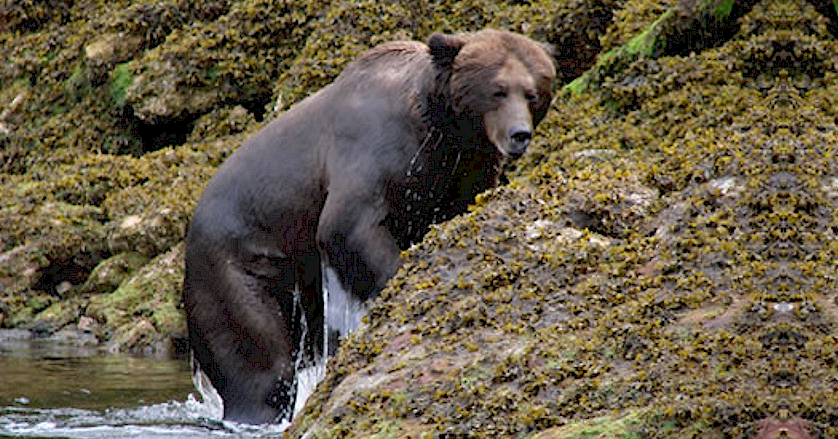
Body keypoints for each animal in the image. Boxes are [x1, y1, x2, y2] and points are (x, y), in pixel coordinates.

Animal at [182, 28, 556, 426]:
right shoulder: (374, 147)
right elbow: (347, 224)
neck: (441, 127)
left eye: (531, 92)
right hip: (240, 263)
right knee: (259, 362)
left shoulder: (462, 167)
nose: (518, 134)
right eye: (498, 89)